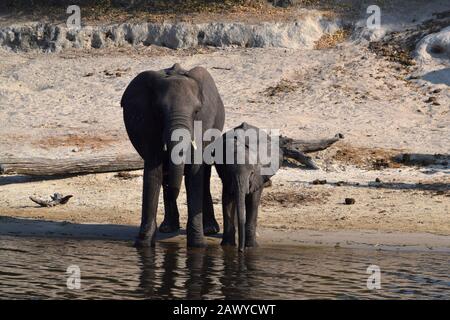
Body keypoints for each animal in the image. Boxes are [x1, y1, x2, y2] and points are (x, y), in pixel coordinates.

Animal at [121, 63, 225, 248]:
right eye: (159, 112)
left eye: (197, 112)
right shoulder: (147, 124)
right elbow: (153, 172)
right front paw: (143, 244)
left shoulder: (203, 124)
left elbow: (194, 173)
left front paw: (198, 245)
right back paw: (168, 228)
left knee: (204, 174)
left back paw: (210, 229)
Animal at [214, 121, 312, 251]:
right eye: (230, 172)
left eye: (252, 173)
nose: (240, 250)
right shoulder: (225, 175)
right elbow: (227, 199)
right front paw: (227, 247)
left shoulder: (259, 175)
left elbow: (253, 201)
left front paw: (251, 247)